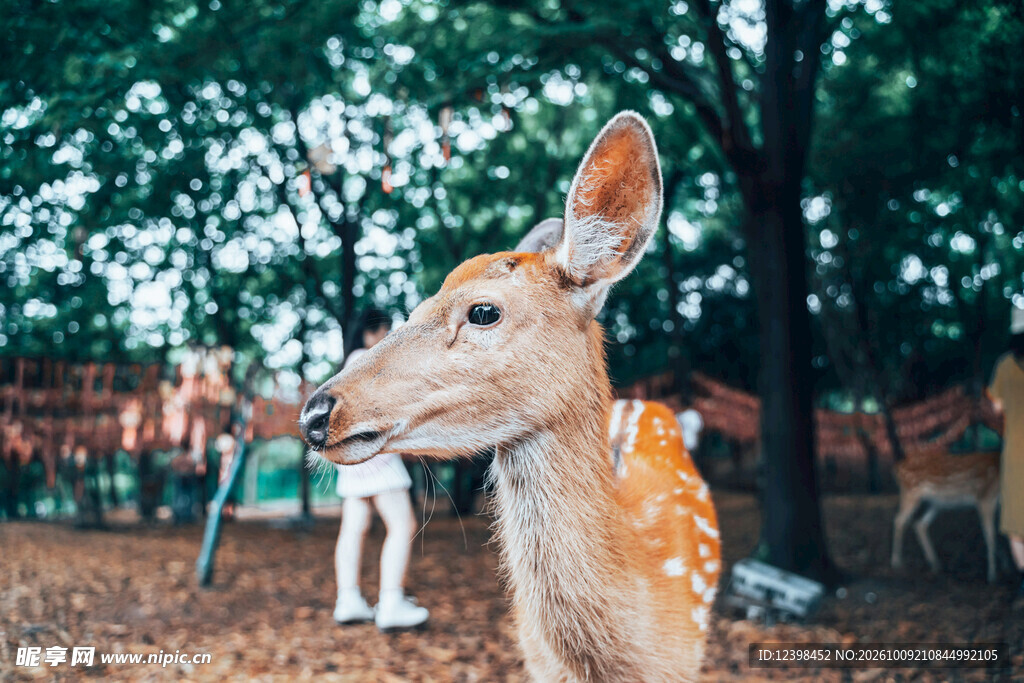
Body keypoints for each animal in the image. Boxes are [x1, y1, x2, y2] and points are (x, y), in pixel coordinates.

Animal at [891, 448, 1000, 583]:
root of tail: (896, 468)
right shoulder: (985, 497)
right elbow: (990, 535)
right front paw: (992, 576)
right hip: (911, 492)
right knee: (899, 520)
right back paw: (896, 562)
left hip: (936, 503)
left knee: (920, 524)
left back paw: (935, 564)